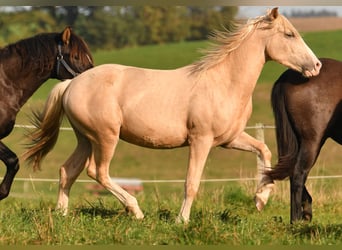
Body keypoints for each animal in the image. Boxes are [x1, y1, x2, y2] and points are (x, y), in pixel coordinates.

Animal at [23, 7, 320, 223]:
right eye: (290, 35)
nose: (316, 65)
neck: (223, 82)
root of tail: (71, 83)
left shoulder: (229, 138)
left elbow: (264, 150)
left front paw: (261, 198)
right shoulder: (201, 140)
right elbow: (191, 182)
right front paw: (182, 220)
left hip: (85, 138)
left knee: (68, 170)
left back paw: (62, 214)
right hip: (105, 137)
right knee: (97, 172)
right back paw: (136, 211)